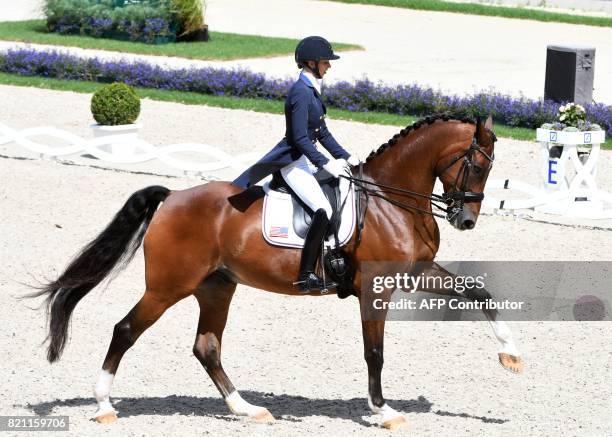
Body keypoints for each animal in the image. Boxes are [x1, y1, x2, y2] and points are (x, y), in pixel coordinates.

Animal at [32, 114, 520, 428]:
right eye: (477, 165)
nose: (465, 220)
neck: (390, 199)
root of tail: (171, 198)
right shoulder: (374, 290)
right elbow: (375, 352)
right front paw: (383, 410)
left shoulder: (416, 273)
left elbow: (479, 292)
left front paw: (511, 355)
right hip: (169, 286)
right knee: (126, 329)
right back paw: (104, 405)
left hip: (216, 287)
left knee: (207, 347)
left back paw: (247, 409)